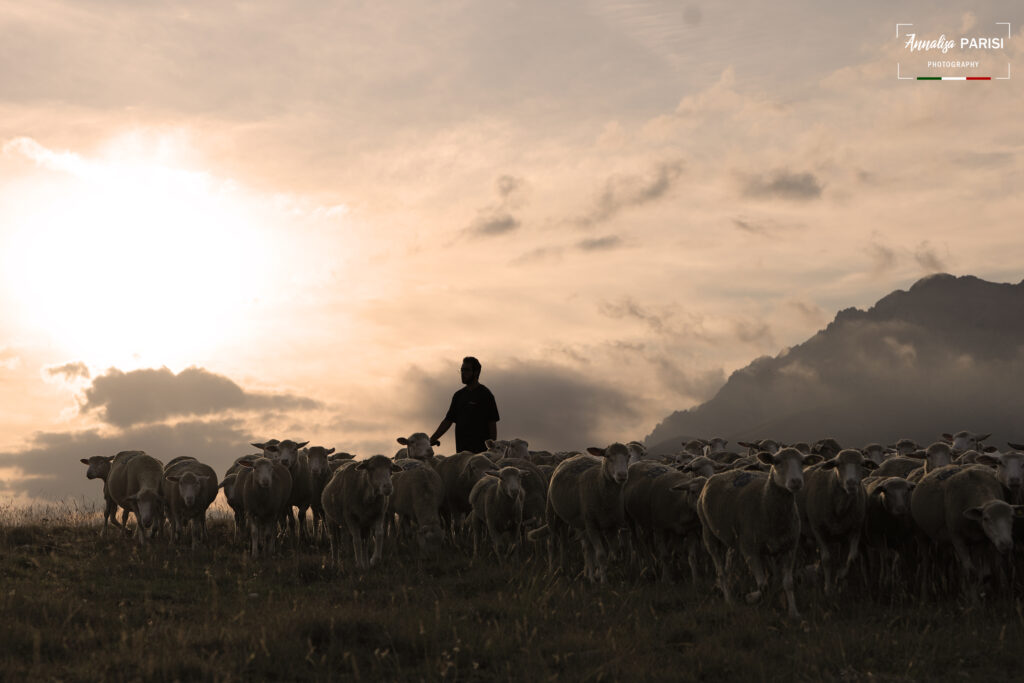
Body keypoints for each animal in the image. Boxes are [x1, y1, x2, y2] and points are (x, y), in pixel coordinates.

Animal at [528, 446, 630, 585]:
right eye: (608, 456)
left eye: (628, 456)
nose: (622, 475)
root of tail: (573, 457)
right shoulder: (591, 524)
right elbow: (601, 555)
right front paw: (603, 582)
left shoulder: (612, 526)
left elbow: (614, 553)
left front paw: (600, 575)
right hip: (551, 512)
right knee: (551, 543)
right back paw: (552, 571)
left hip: (570, 519)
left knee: (568, 544)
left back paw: (566, 570)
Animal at [696, 448, 823, 618]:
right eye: (777, 462)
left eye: (802, 462)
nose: (796, 482)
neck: (765, 501)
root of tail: (715, 476)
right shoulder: (750, 550)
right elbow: (763, 586)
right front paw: (751, 598)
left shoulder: (790, 548)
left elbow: (788, 583)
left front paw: (793, 612)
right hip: (709, 533)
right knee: (721, 572)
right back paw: (730, 601)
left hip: (739, 540)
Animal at [794, 448, 876, 593]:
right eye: (838, 464)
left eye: (861, 464)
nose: (851, 484)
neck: (840, 509)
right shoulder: (818, 529)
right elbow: (827, 559)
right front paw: (828, 588)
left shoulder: (855, 530)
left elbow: (851, 558)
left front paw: (841, 579)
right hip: (802, 533)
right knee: (801, 555)